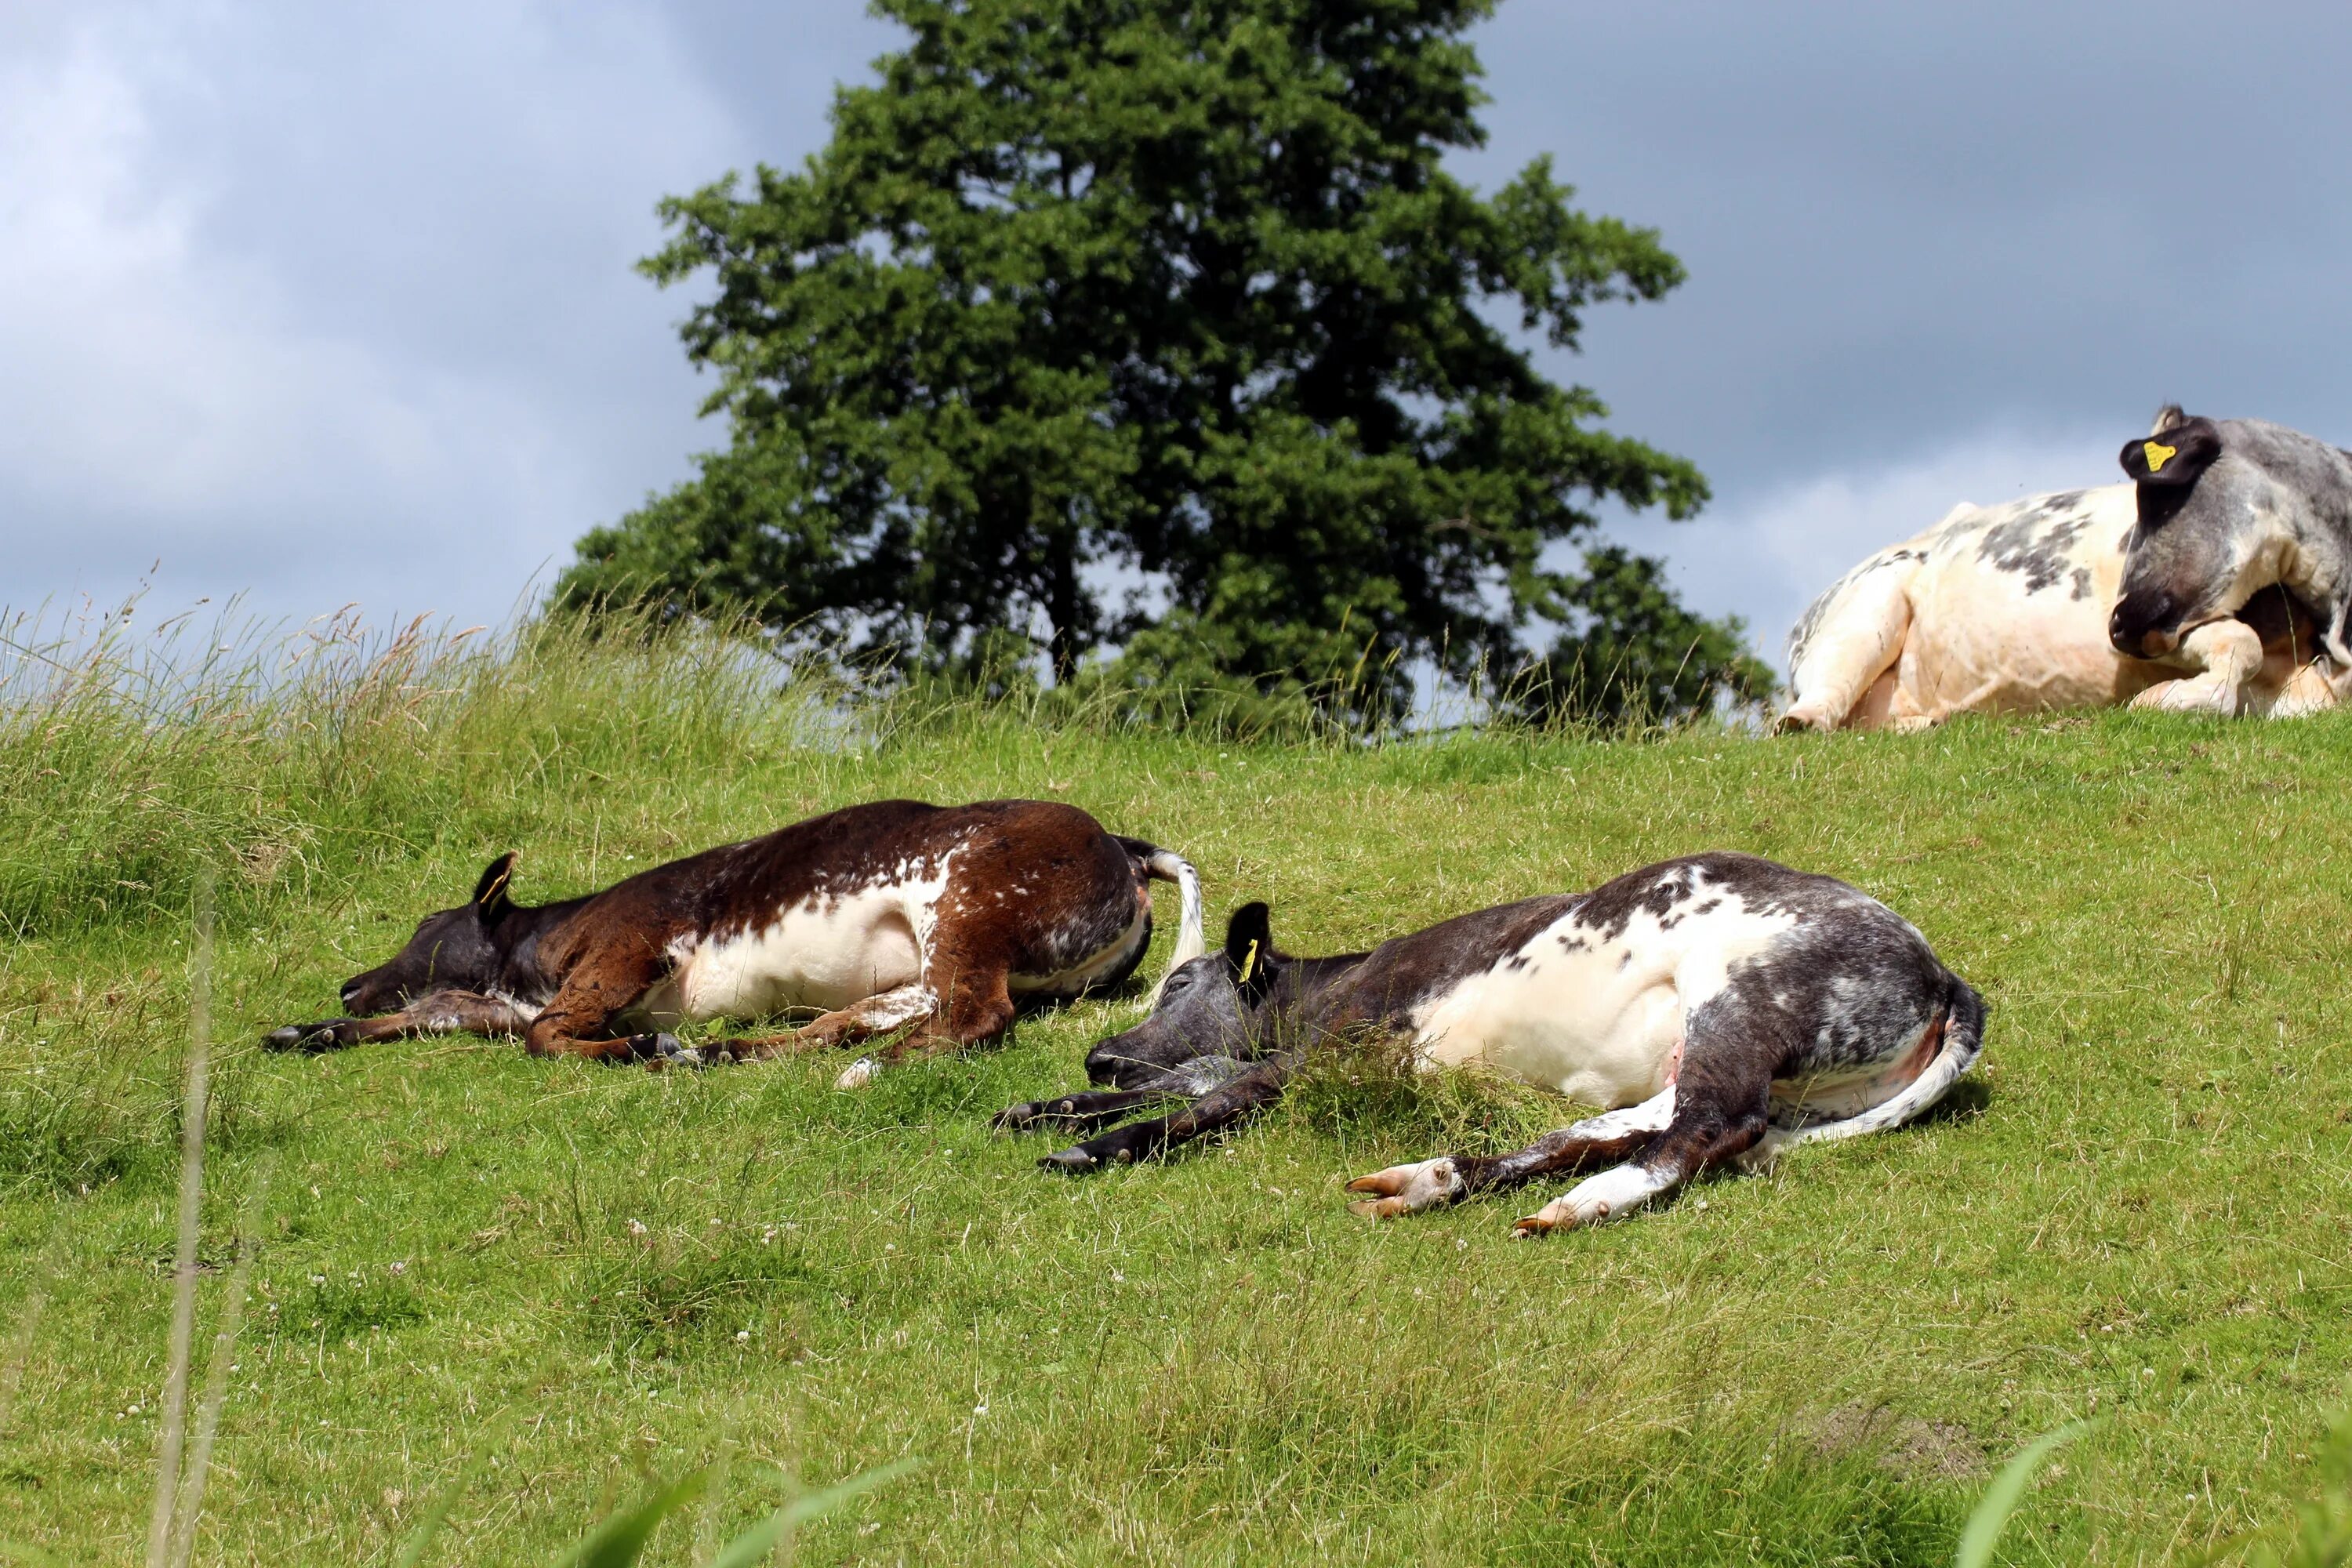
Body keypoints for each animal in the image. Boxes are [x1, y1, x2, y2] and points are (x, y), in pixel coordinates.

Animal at [267, 799, 1204, 1091]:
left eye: (426, 928)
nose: (348, 983)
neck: (531, 958)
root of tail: (1125, 845)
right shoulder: (499, 1004)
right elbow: (434, 1016)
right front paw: (306, 1030)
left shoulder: (629, 946)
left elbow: (550, 1036)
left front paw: (638, 1048)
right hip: (937, 954)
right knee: (863, 1016)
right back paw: (729, 1051)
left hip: (970, 904)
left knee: (976, 1014)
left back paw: (865, 1071)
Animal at [993, 851, 1985, 1232]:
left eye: (1180, 983)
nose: (1100, 1049)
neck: (1333, 981)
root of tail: (1944, 971)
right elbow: (1191, 1078)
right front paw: (1048, 1104)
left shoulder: (1337, 1044)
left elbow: (1212, 1093)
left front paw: (1098, 1143)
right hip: (1715, 1057)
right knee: (1622, 1126)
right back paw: (1431, 1179)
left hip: (1739, 999)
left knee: (1707, 1128)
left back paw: (1578, 1204)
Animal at [1769, 413, 2343, 738]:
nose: (2121, 624)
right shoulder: (2163, 628)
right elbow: (2240, 645)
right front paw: (2162, 700)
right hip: (1869, 604)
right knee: (1827, 690)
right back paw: (1800, 721)